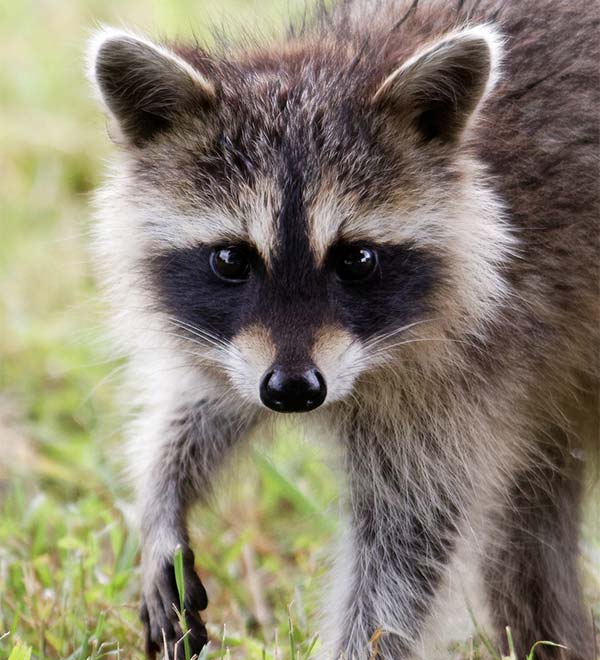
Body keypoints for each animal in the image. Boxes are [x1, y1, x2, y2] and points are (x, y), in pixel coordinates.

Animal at [86, 0, 596, 656]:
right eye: (230, 259)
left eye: (356, 260)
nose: (293, 392)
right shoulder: (242, 349)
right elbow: (205, 404)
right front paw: (160, 496)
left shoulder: (477, 366)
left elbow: (407, 548)